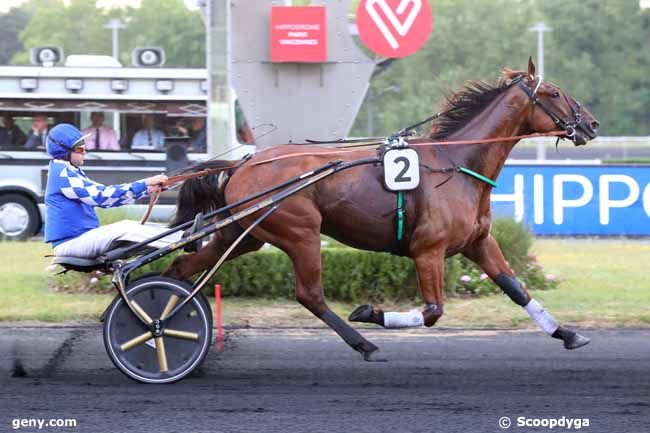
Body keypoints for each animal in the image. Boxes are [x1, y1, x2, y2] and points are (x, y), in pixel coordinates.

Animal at [163, 59, 596, 360]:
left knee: (182, 268)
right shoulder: (428, 250)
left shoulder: (478, 242)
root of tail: (243, 163)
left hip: (243, 234)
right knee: (310, 295)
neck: (456, 162)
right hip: (300, 232)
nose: (590, 124)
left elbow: (516, 289)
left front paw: (568, 334)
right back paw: (364, 343)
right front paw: (370, 312)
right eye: (553, 93)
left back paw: (167, 321)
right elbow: (433, 311)